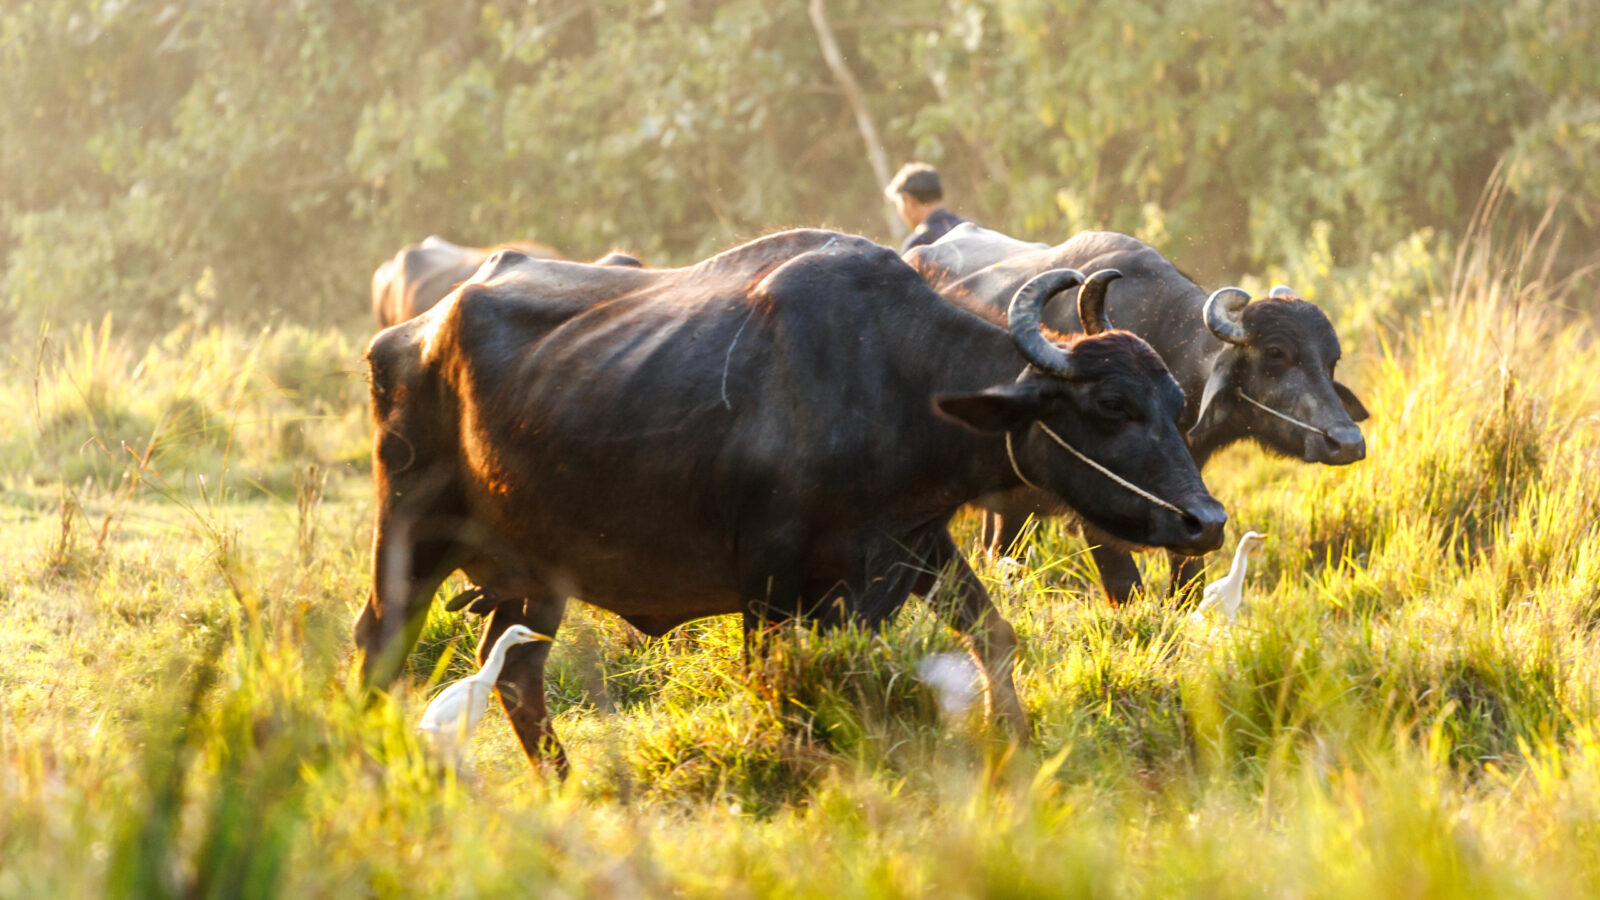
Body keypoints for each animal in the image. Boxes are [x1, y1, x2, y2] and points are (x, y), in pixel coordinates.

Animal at [356, 229, 1226, 771]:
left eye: (1173, 398)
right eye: (1110, 405)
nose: (1206, 521)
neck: (892, 382)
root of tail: (409, 336)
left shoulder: (912, 547)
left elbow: (993, 636)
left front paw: (1016, 744)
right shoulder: (771, 583)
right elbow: (778, 684)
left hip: (535, 577)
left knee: (515, 674)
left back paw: (562, 784)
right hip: (411, 538)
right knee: (380, 644)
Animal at [907, 225, 1368, 604]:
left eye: (1332, 360)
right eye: (1275, 353)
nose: (1346, 442)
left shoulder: (1190, 506)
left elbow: (1189, 582)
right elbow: (1125, 586)